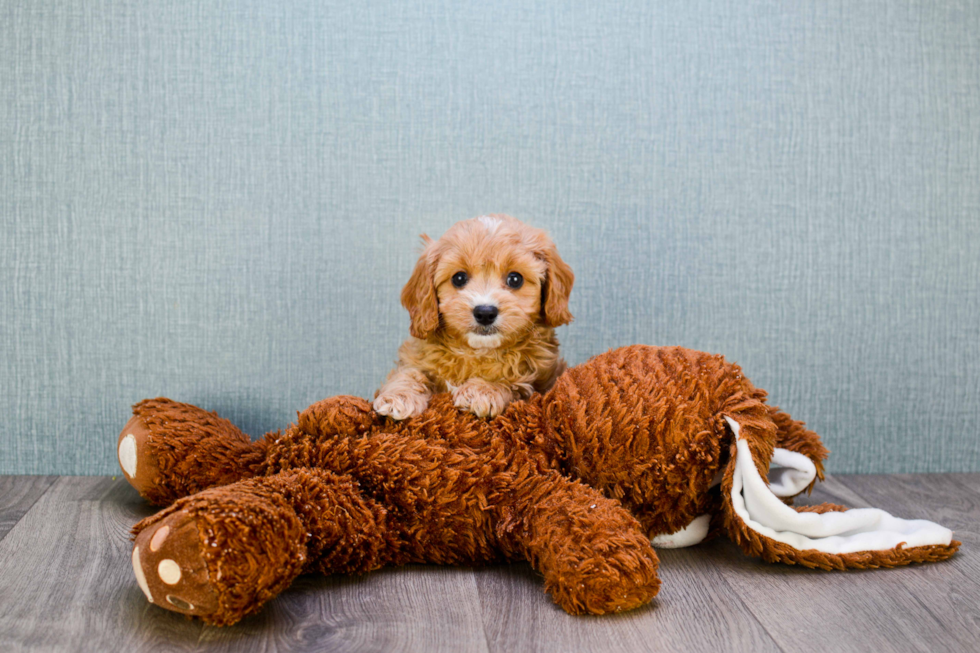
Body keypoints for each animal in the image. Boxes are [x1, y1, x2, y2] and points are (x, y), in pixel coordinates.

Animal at [376, 214, 576, 418]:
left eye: (515, 279)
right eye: (459, 278)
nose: (485, 312)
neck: (478, 351)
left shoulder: (536, 382)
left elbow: (510, 380)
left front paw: (481, 390)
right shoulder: (415, 357)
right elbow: (409, 372)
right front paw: (398, 396)